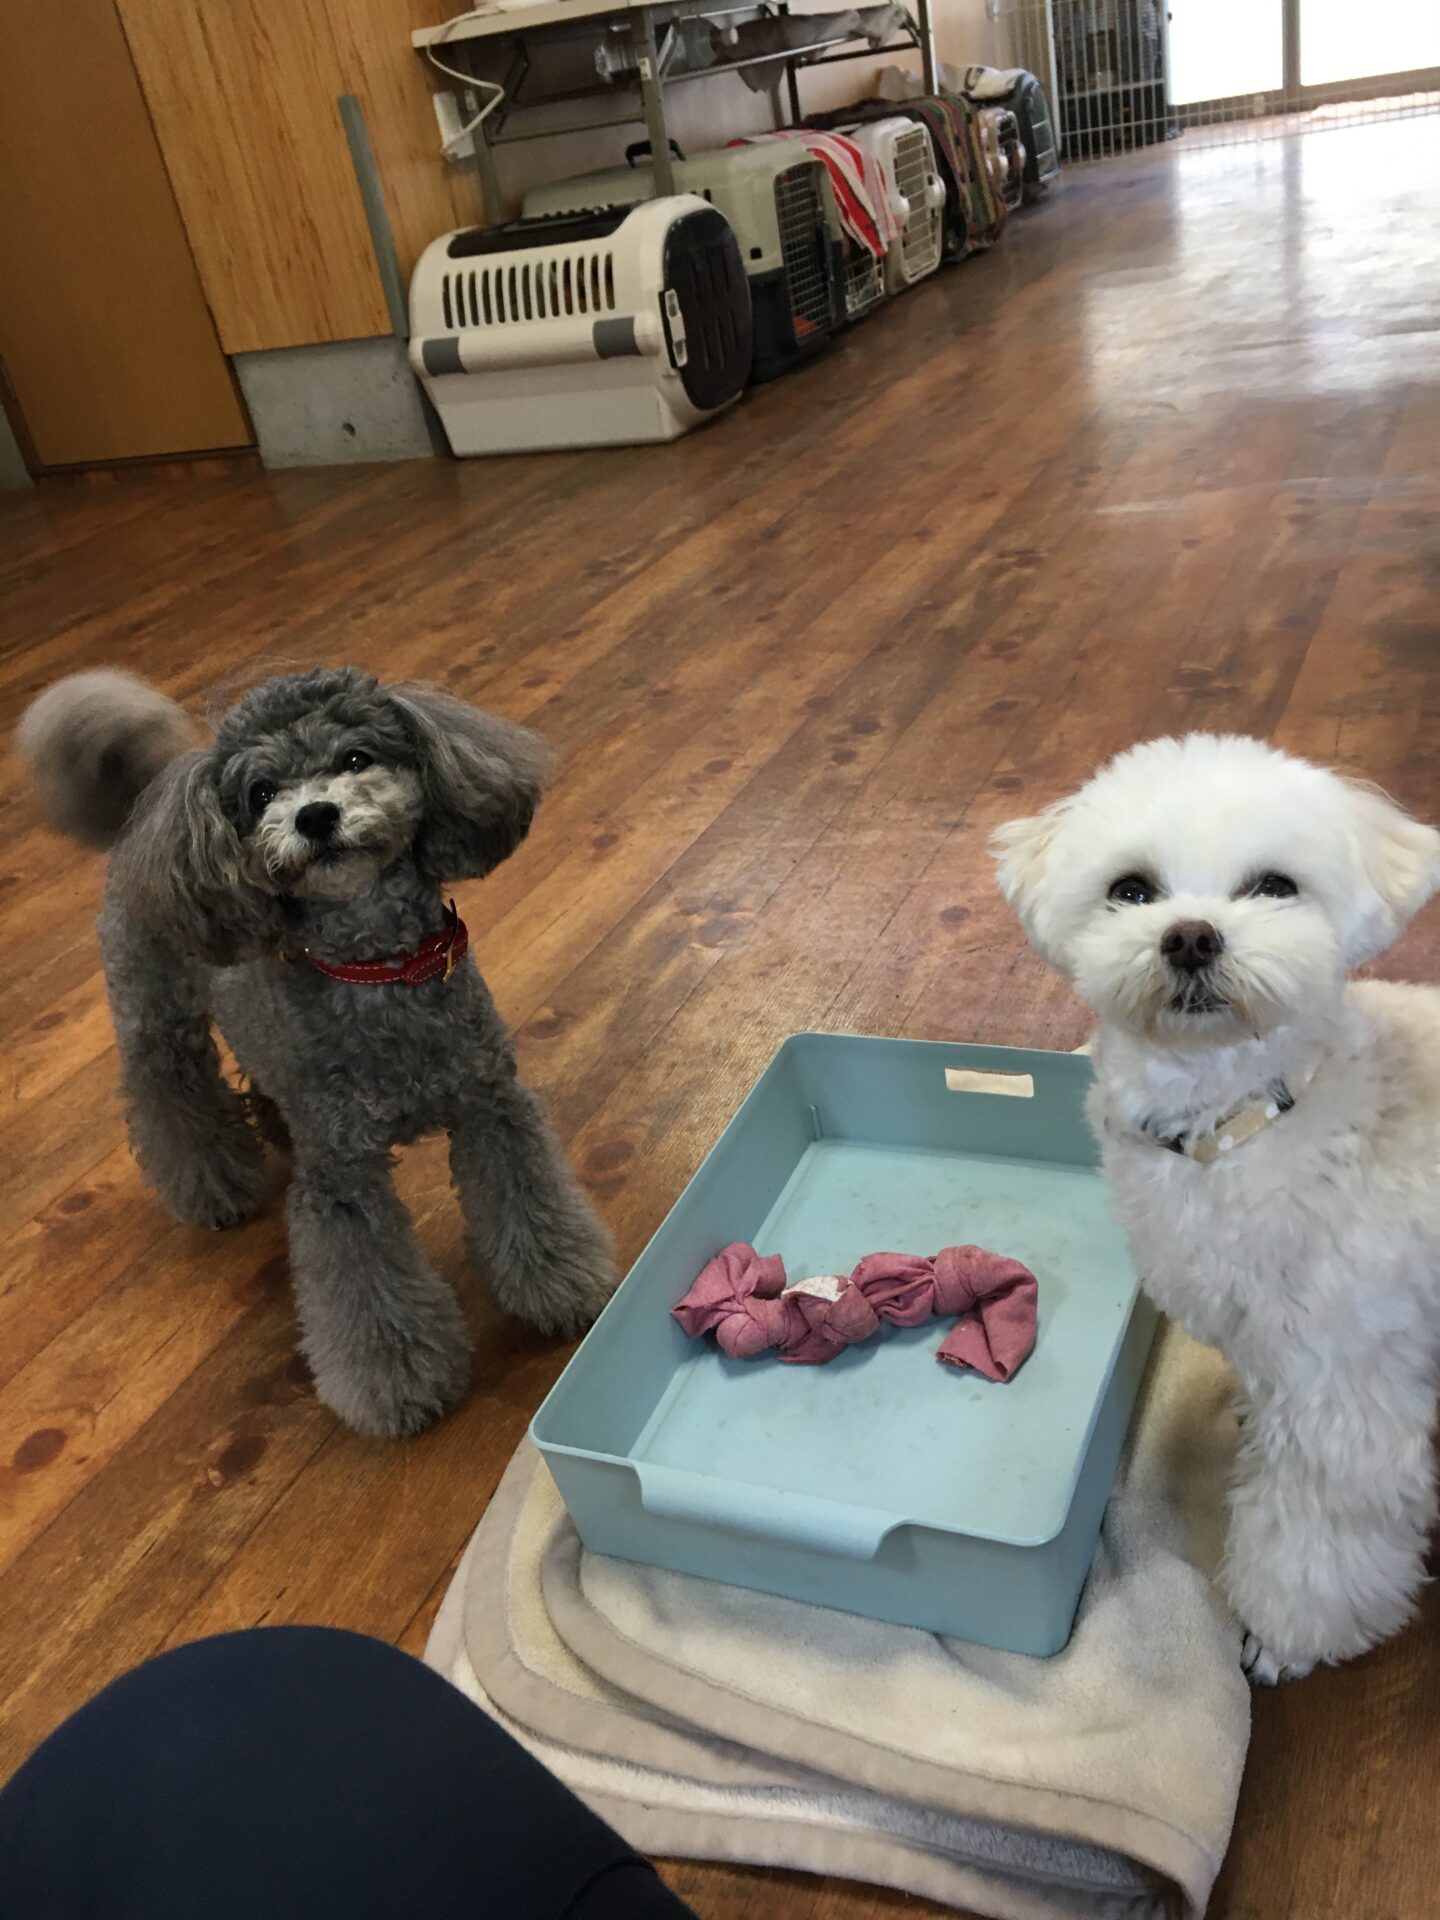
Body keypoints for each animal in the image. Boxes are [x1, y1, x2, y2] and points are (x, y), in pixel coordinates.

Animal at [19, 667, 618, 1438]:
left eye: (356, 758)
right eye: (261, 793)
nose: (315, 817)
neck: (376, 970)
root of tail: (143, 807)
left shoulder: (491, 1109)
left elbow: (532, 1207)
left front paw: (564, 1286)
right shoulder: (341, 1178)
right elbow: (367, 1295)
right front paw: (397, 1386)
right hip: (157, 1019)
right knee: (172, 1097)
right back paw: (214, 1186)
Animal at [993, 732, 1440, 1682]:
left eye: (1274, 885)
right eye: (1132, 890)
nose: (1190, 936)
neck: (1243, 1117)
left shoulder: (1346, 1394)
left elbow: (1313, 1546)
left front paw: (1281, 1639)